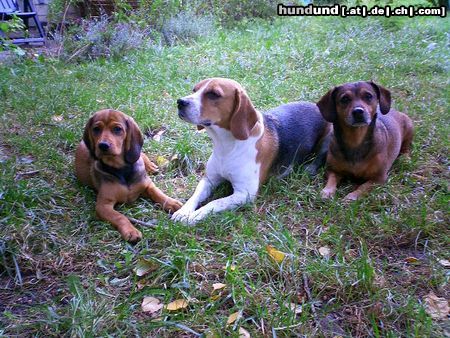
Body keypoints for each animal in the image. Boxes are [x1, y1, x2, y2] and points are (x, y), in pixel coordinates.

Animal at [76, 109, 183, 242]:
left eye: (117, 129)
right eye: (96, 129)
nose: (102, 145)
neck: (122, 169)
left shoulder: (148, 185)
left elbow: (158, 193)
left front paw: (172, 202)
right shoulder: (103, 205)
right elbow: (119, 217)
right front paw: (131, 231)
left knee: (141, 154)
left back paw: (150, 166)